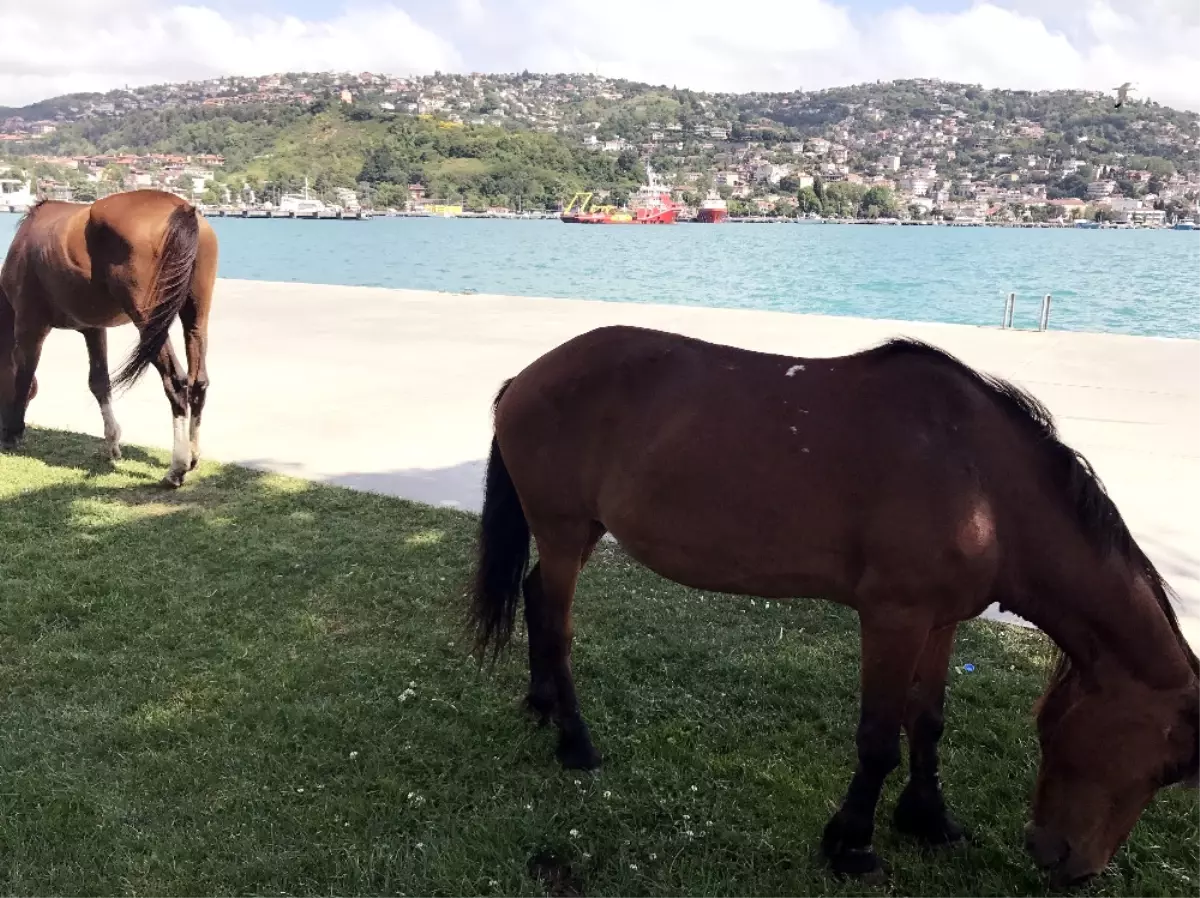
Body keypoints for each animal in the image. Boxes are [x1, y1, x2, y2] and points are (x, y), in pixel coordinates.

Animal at [0, 186, 218, 487]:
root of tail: (183, 209)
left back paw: (177, 467)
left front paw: (12, 433)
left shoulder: (30, 326)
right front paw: (112, 444)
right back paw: (193, 456)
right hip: (196, 318)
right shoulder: (93, 329)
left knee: (176, 383)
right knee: (198, 382)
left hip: (150, 324)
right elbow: (99, 382)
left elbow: (22, 376)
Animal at [470, 326, 1200, 888]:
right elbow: (878, 739)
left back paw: (541, 705)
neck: (983, 482)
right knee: (558, 626)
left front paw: (928, 818)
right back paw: (575, 741)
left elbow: (927, 722)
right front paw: (851, 844)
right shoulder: (892, 618)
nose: (1071, 864)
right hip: (564, 530)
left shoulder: (941, 620)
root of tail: (525, 378)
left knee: (536, 600)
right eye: (1169, 768)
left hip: (579, 534)